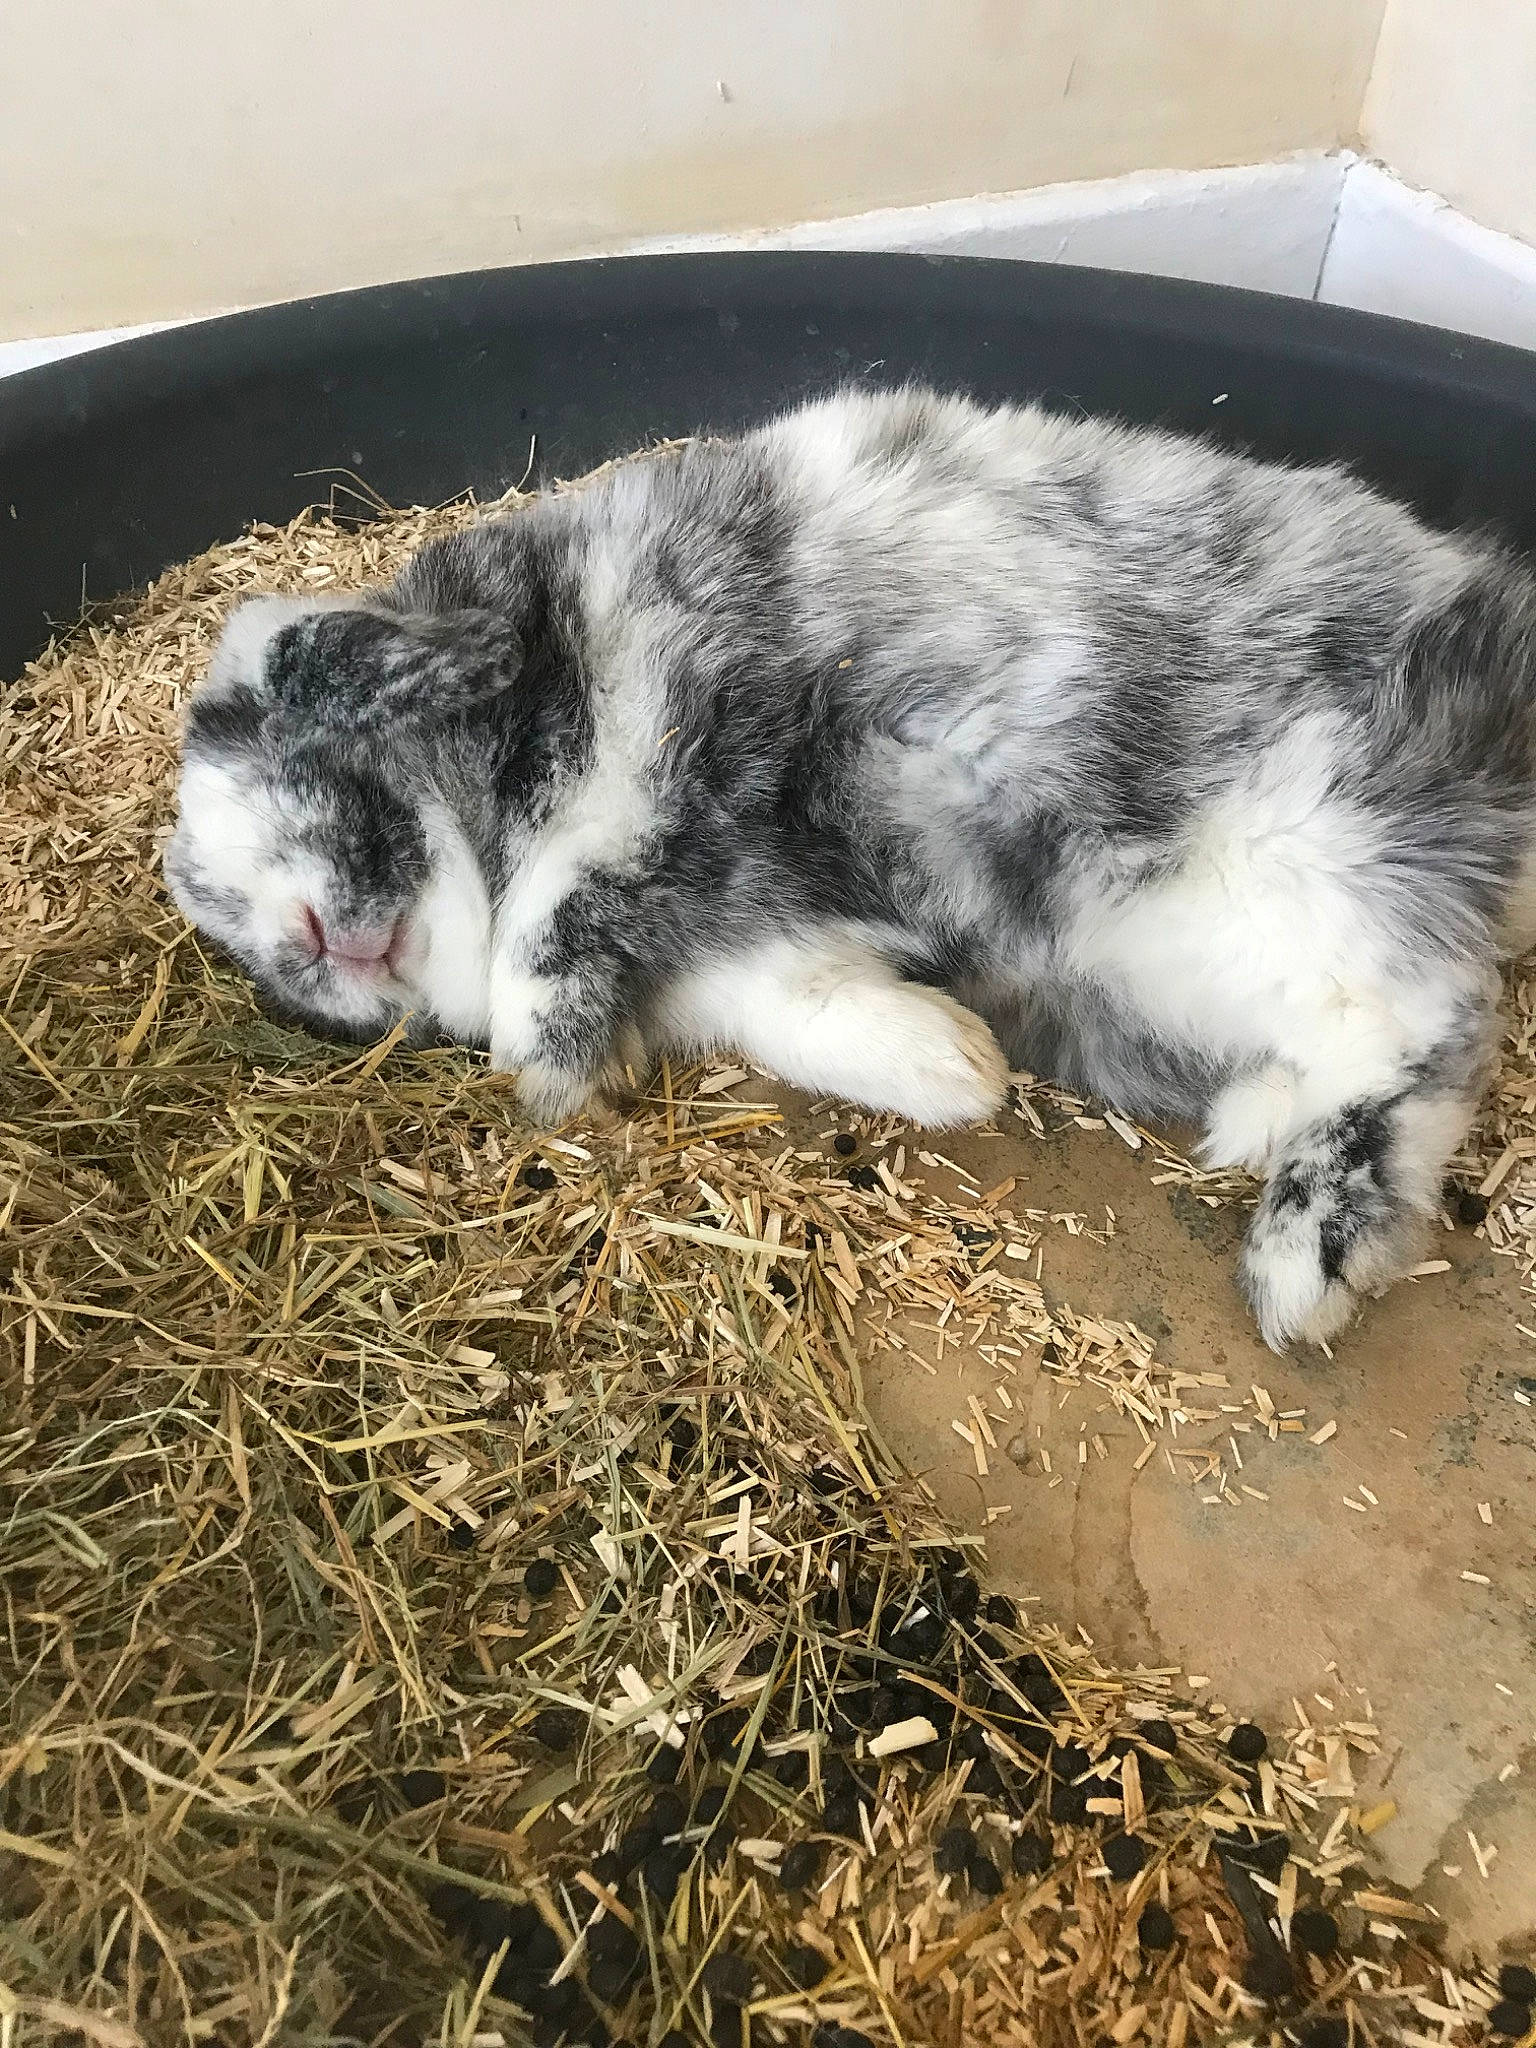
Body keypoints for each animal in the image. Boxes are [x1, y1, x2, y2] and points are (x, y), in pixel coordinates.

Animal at [164, 384, 1536, 1351]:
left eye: (258, 735)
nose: (306, 948)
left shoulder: (646, 704)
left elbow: (555, 903)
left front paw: (546, 1068)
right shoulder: (745, 960)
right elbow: (806, 1008)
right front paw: (958, 1071)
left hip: (1282, 860)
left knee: (1428, 1034)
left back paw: (1305, 1265)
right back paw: (1268, 1161)